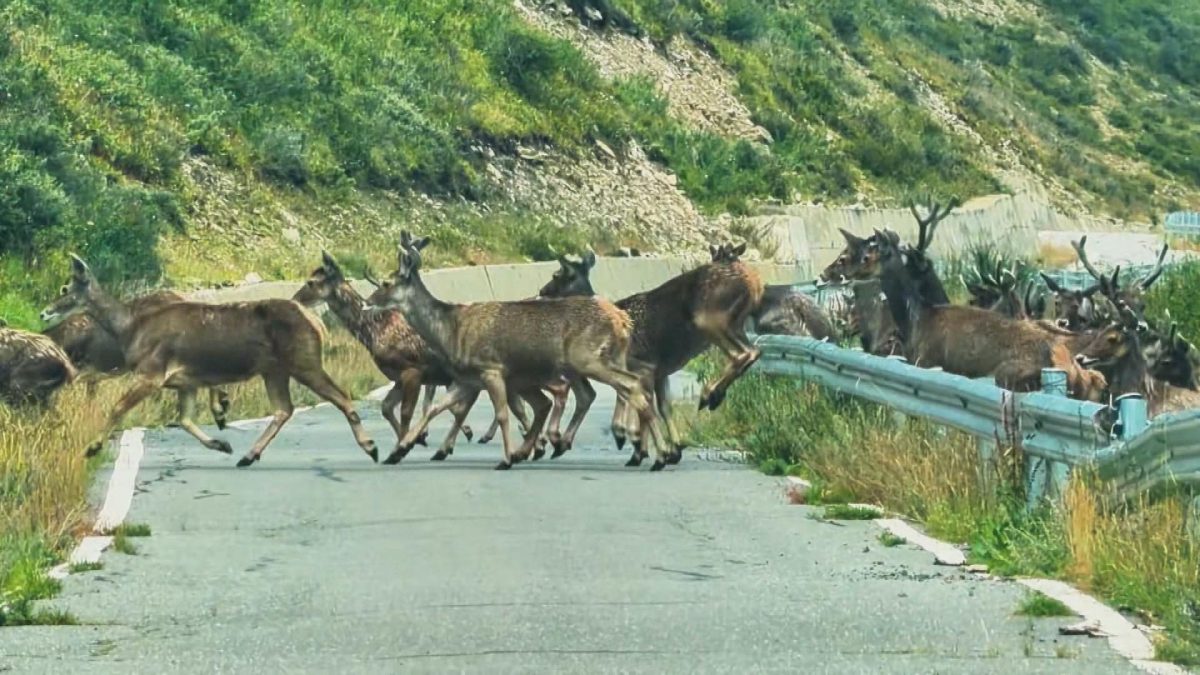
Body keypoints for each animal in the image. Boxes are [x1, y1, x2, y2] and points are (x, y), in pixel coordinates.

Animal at [365, 232, 672, 470]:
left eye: (387, 283)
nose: (367, 302)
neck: (450, 329)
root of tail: (622, 320)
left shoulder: (490, 368)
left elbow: (502, 414)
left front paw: (506, 458)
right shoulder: (468, 379)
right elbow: (436, 408)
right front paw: (398, 450)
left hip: (588, 358)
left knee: (629, 386)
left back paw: (657, 455)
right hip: (600, 360)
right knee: (621, 390)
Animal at [537, 243, 765, 464]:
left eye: (556, 275)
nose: (542, 290)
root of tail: (754, 282)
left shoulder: (641, 365)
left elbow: (638, 403)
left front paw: (633, 441)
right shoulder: (660, 371)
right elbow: (662, 407)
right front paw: (670, 449)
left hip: (709, 319)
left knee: (744, 353)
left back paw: (709, 395)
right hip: (735, 324)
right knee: (753, 351)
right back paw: (713, 396)